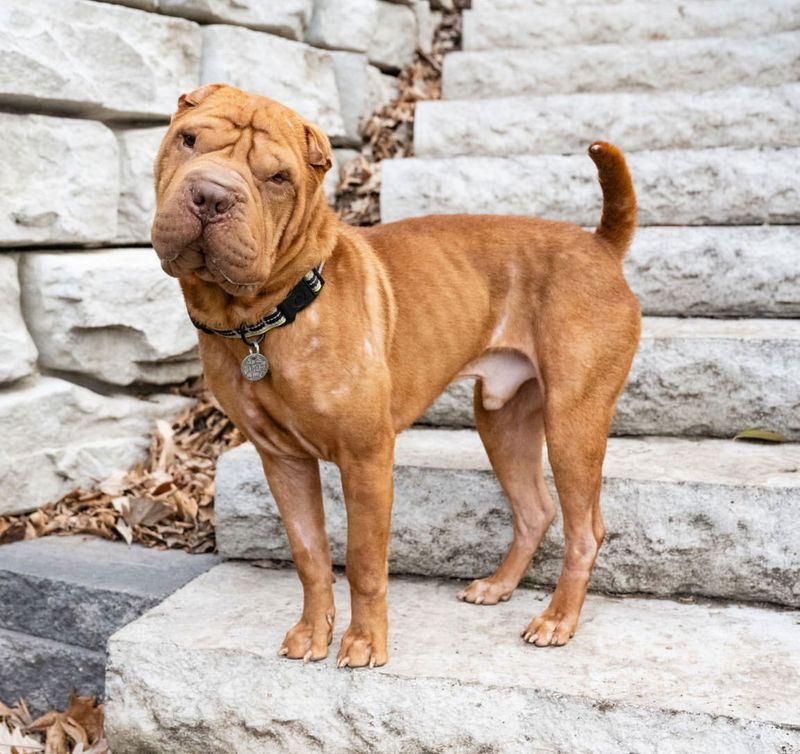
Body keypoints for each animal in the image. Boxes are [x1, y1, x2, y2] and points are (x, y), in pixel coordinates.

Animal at [153, 85, 644, 668]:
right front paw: (313, 631)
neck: (263, 319)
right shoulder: (282, 460)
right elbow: (309, 553)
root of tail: (600, 245)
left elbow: (363, 560)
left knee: (586, 529)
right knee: (535, 510)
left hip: (572, 422)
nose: (211, 195)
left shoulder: (366, 458)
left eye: (277, 178)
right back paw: (499, 586)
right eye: (188, 140)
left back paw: (558, 619)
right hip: (502, 420)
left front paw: (365, 641)